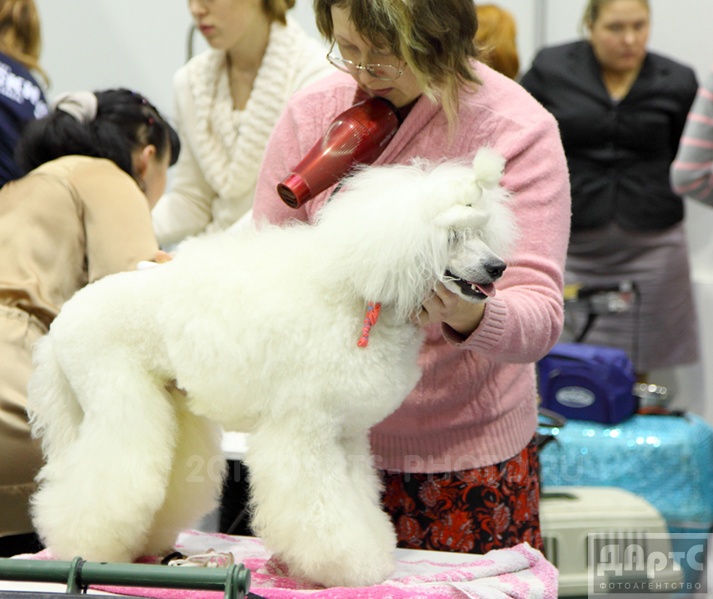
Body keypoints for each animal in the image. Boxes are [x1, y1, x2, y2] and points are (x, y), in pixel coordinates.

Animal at [27, 147, 516, 588]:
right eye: (451, 236)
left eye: (481, 232)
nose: (498, 266)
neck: (359, 296)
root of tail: (61, 321)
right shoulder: (305, 430)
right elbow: (321, 507)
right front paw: (347, 567)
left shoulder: (346, 434)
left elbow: (357, 498)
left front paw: (373, 551)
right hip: (118, 398)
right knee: (105, 481)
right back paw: (83, 548)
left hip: (166, 403)